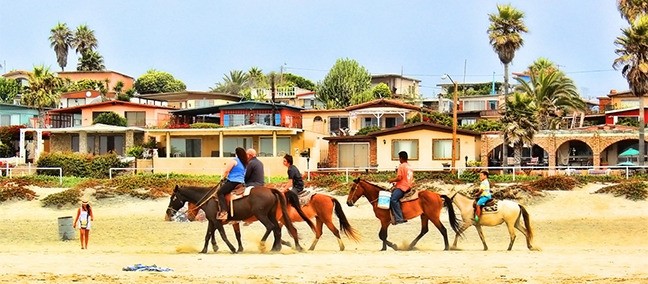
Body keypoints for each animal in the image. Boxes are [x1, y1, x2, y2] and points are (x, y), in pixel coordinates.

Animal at [165, 184, 312, 253]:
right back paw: (276, 248)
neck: (209, 199)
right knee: (277, 229)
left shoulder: (217, 221)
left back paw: (263, 245)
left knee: (271, 227)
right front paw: (204, 250)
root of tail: (271, 190)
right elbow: (208, 235)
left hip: (262, 215)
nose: (168, 214)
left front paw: (232, 248)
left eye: (173, 198)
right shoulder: (212, 221)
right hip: (271, 215)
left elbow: (222, 235)